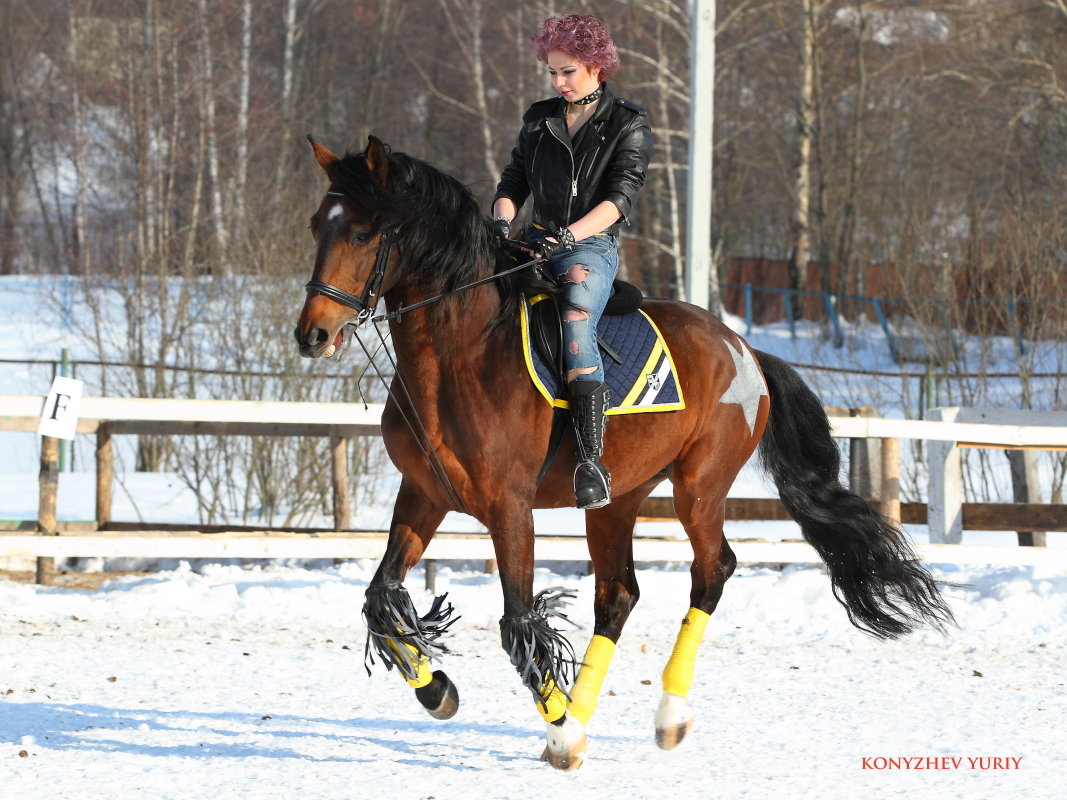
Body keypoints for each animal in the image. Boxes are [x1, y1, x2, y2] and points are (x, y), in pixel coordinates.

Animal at [294, 136, 951, 772]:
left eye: (362, 232)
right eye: (316, 225)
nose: (312, 335)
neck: (463, 356)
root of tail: (743, 346)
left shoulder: (510, 509)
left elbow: (517, 624)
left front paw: (560, 731)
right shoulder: (424, 495)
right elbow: (382, 599)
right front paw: (439, 690)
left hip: (699, 489)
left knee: (712, 572)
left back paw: (661, 716)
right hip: (615, 499)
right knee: (618, 595)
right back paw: (580, 719)